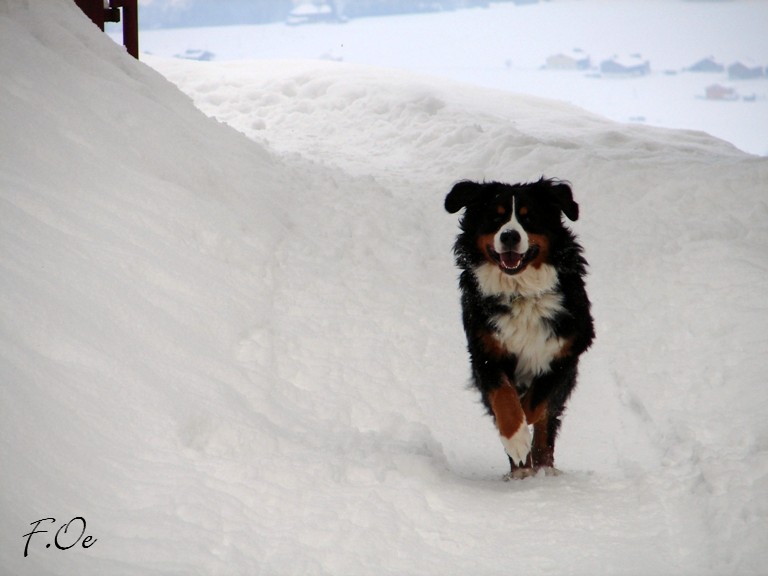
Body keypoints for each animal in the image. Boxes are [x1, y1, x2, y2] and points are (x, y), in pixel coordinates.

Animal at [444, 178, 592, 480]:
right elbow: (505, 399)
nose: (510, 236)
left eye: (528, 217)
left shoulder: (566, 350)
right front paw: (515, 439)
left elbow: (537, 403)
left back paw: (542, 468)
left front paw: (524, 435)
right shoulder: (485, 351)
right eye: (495, 217)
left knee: (547, 425)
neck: (521, 293)